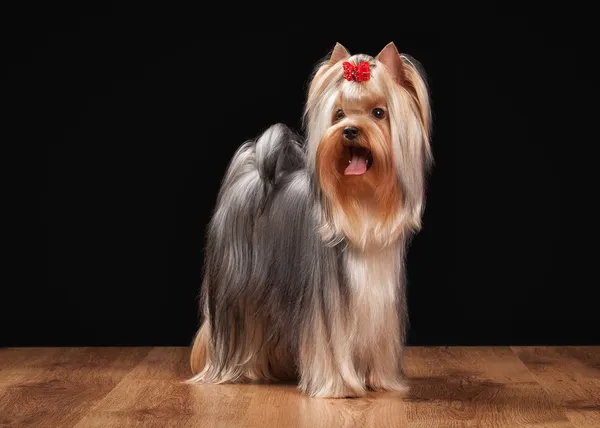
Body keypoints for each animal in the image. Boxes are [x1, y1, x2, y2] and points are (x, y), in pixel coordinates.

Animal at [188, 42, 432, 398]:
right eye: (339, 114)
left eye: (378, 113)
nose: (349, 131)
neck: (362, 208)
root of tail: (252, 174)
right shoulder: (326, 310)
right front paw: (339, 386)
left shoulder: (380, 306)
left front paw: (380, 381)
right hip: (234, 289)